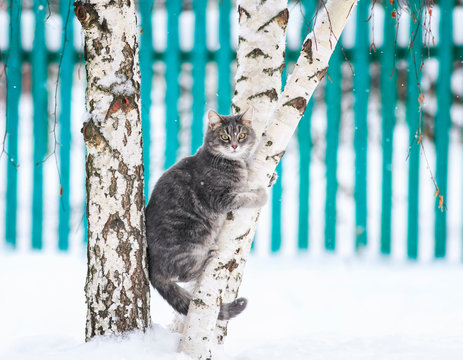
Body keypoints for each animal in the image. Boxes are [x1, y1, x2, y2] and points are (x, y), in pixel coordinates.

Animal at [145, 107, 268, 320]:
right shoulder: (219, 199)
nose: (234, 146)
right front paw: (261, 195)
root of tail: (153, 270)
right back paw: (206, 259)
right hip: (194, 237)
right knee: (183, 275)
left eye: (242, 135)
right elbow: (245, 197)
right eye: (225, 136)